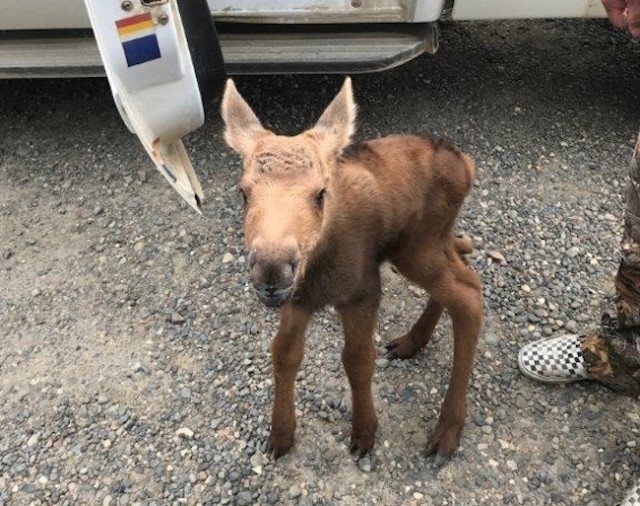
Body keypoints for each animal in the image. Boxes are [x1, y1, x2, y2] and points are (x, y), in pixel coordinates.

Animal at [220, 77, 484, 464]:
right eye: (243, 192)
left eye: (320, 193)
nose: (271, 269)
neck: (319, 266)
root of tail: (466, 162)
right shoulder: (297, 300)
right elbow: (283, 354)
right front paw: (280, 435)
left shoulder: (363, 291)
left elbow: (357, 360)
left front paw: (364, 432)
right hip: (433, 241)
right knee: (462, 269)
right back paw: (413, 341)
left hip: (415, 248)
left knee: (469, 295)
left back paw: (447, 430)